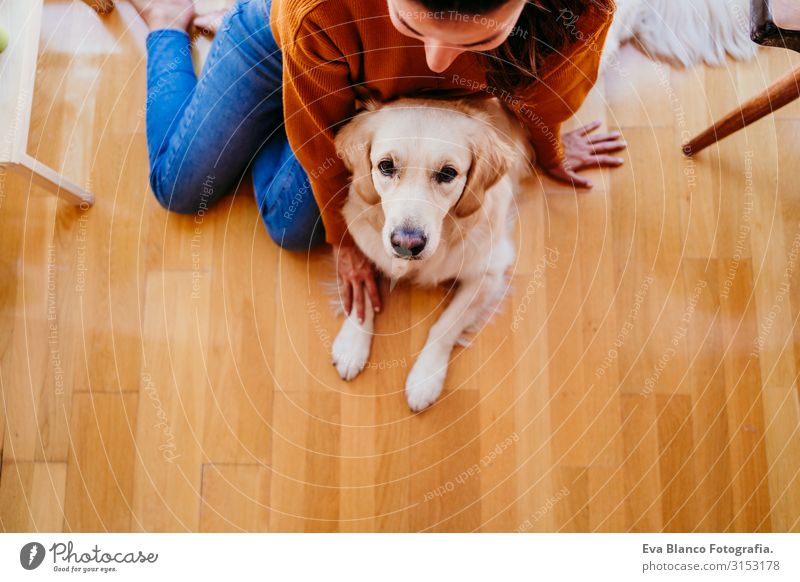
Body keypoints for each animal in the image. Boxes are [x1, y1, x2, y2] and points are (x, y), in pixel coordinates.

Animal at [330, 98, 532, 412]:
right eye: (386, 166)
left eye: (448, 173)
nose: (406, 244)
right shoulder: (363, 244)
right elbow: (360, 285)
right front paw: (352, 343)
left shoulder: (489, 272)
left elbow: (444, 327)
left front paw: (425, 379)